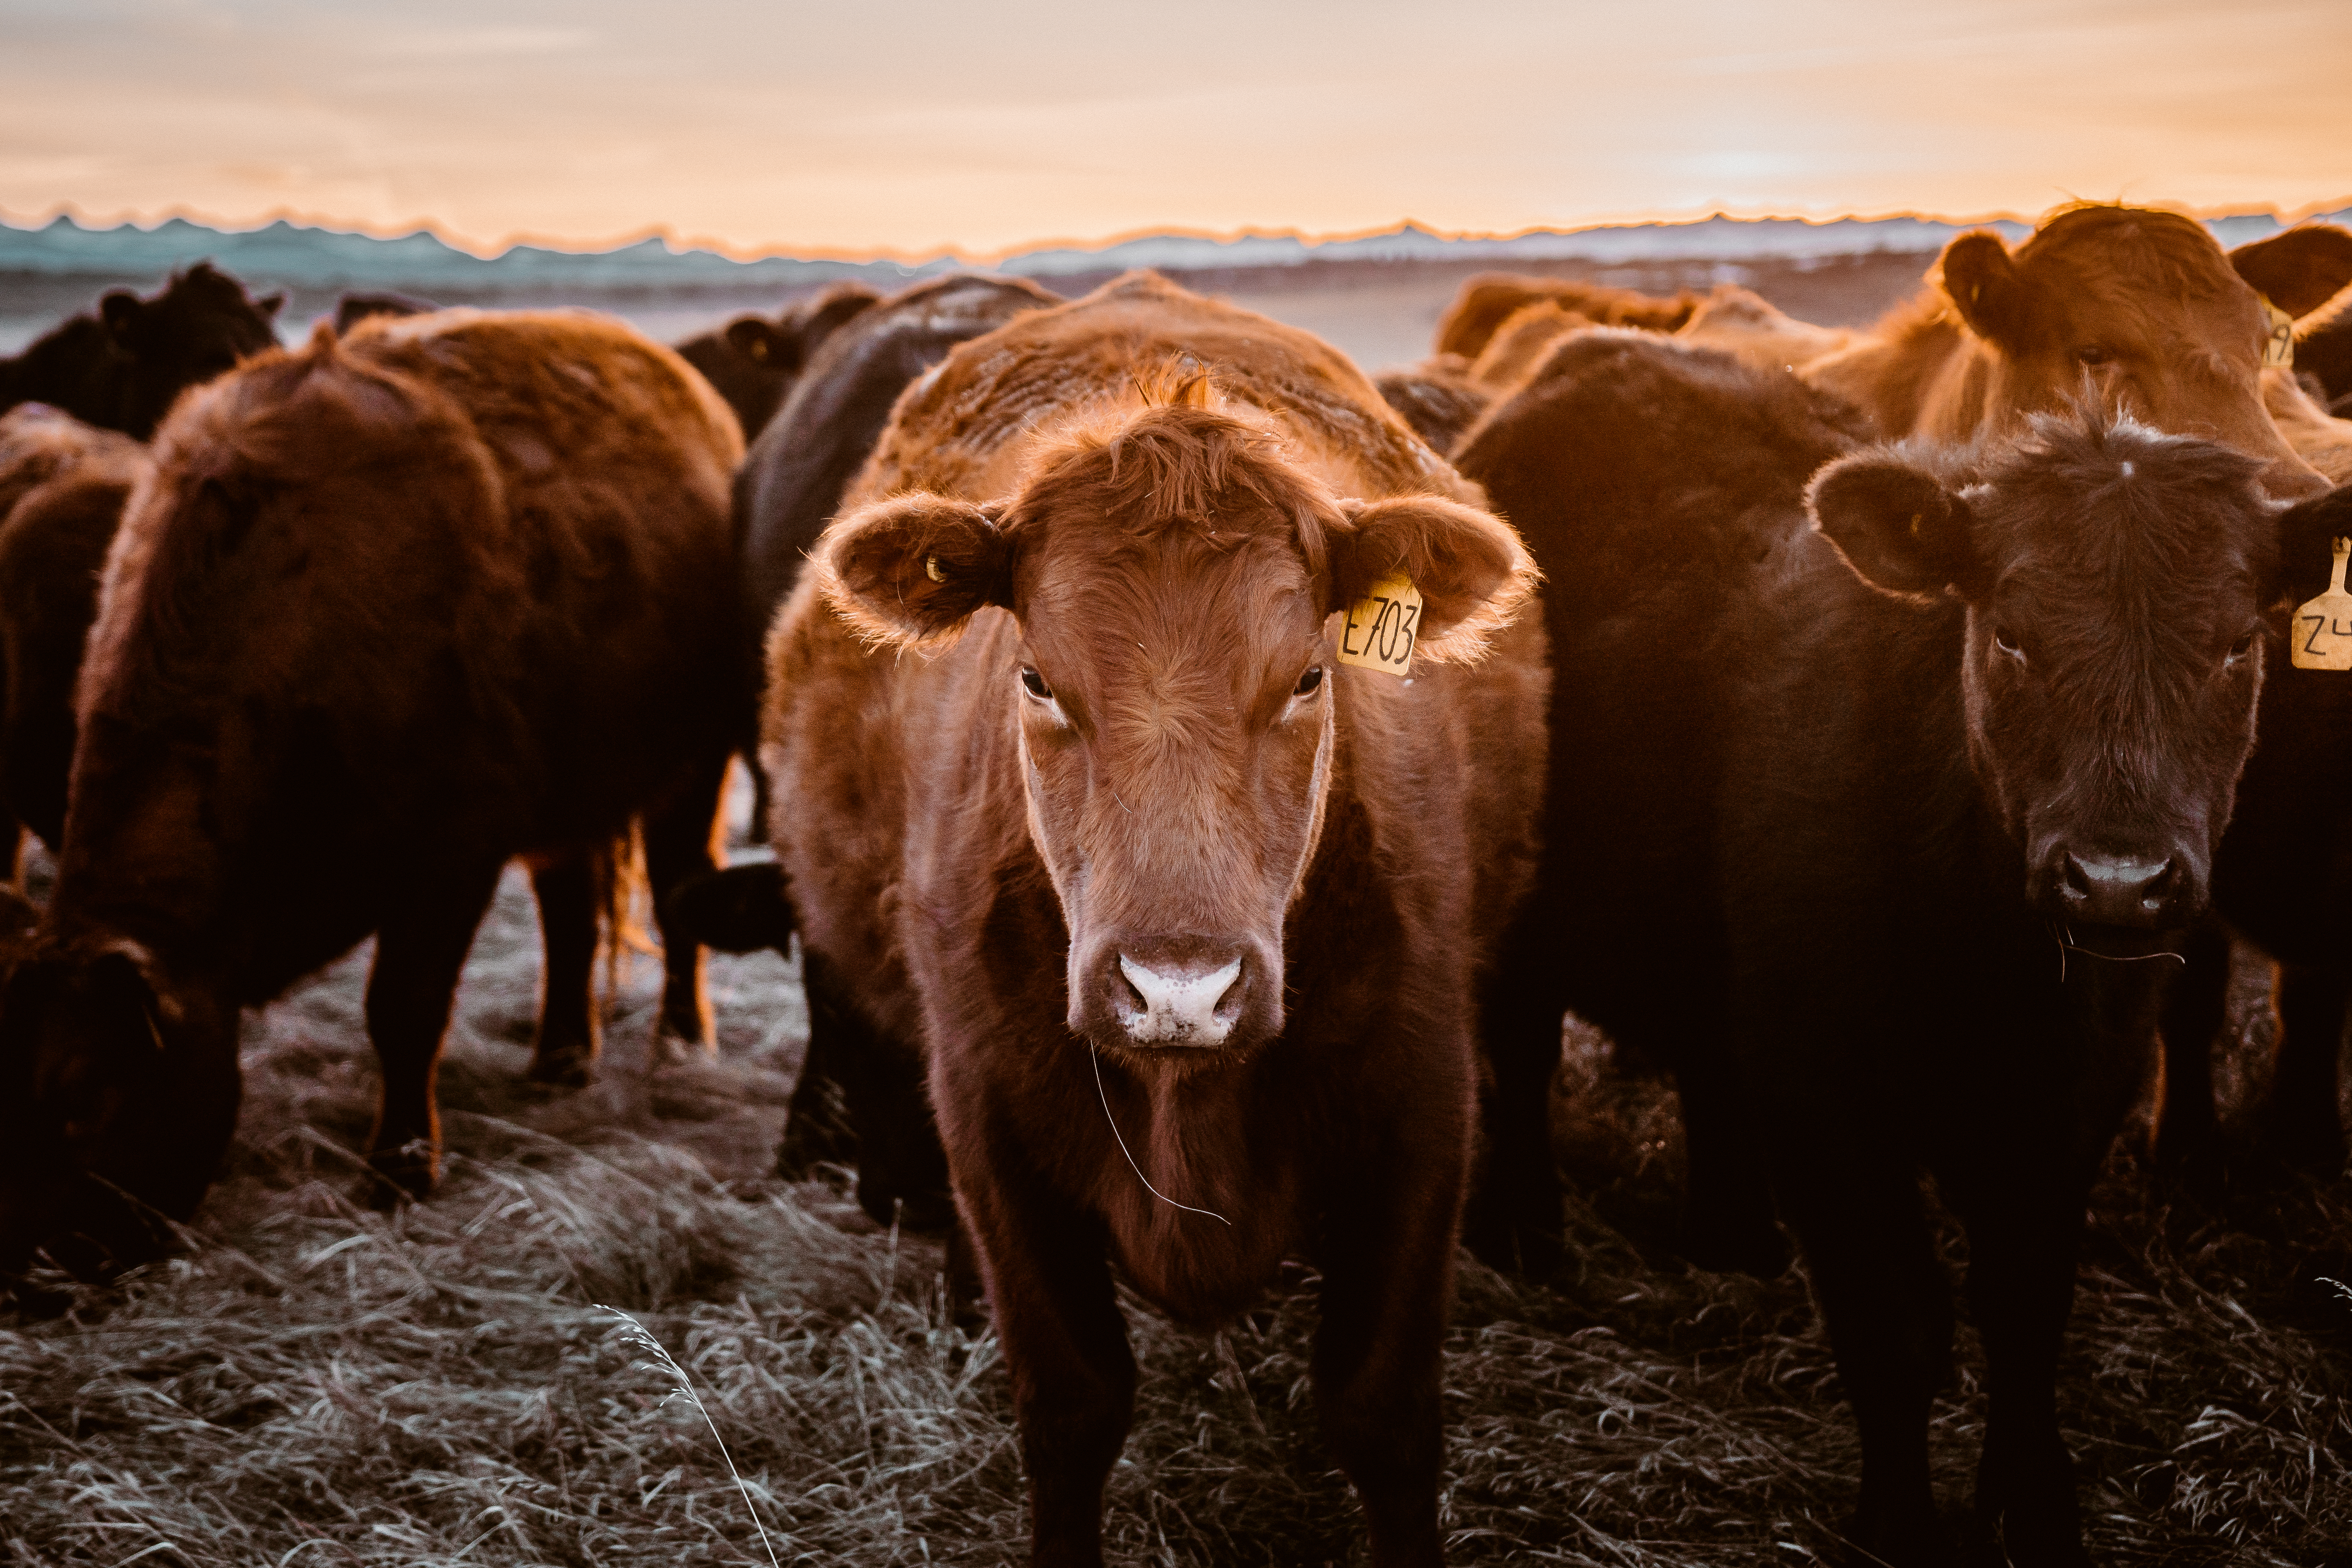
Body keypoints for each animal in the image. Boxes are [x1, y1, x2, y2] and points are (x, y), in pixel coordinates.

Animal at [0, 310, 743, 1288]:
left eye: (86, 1095)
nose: (25, 1271)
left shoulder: (453, 849)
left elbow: (404, 1009)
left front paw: (399, 1168)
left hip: (695, 761)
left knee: (681, 883)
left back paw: (682, 1039)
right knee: (570, 906)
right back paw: (558, 1054)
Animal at [762, 273, 1552, 1568]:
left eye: (1308, 676)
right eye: (1037, 677)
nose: (1179, 988)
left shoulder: (1423, 1109)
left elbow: (1383, 1413)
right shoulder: (989, 1122)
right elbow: (1070, 1404)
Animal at [1458, 324, 2286, 1561]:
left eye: (2239, 644)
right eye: (2011, 635)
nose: (2118, 877)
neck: (1990, 966)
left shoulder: (2073, 1097)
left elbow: (2025, 1309)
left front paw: (2031, 1505)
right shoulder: (1828, 1096)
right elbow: (1895, 1324)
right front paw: (1898, 1520)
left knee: (1704, 1066)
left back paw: (1733, 1235)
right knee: (1520, 1055)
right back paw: (1523, 1231)